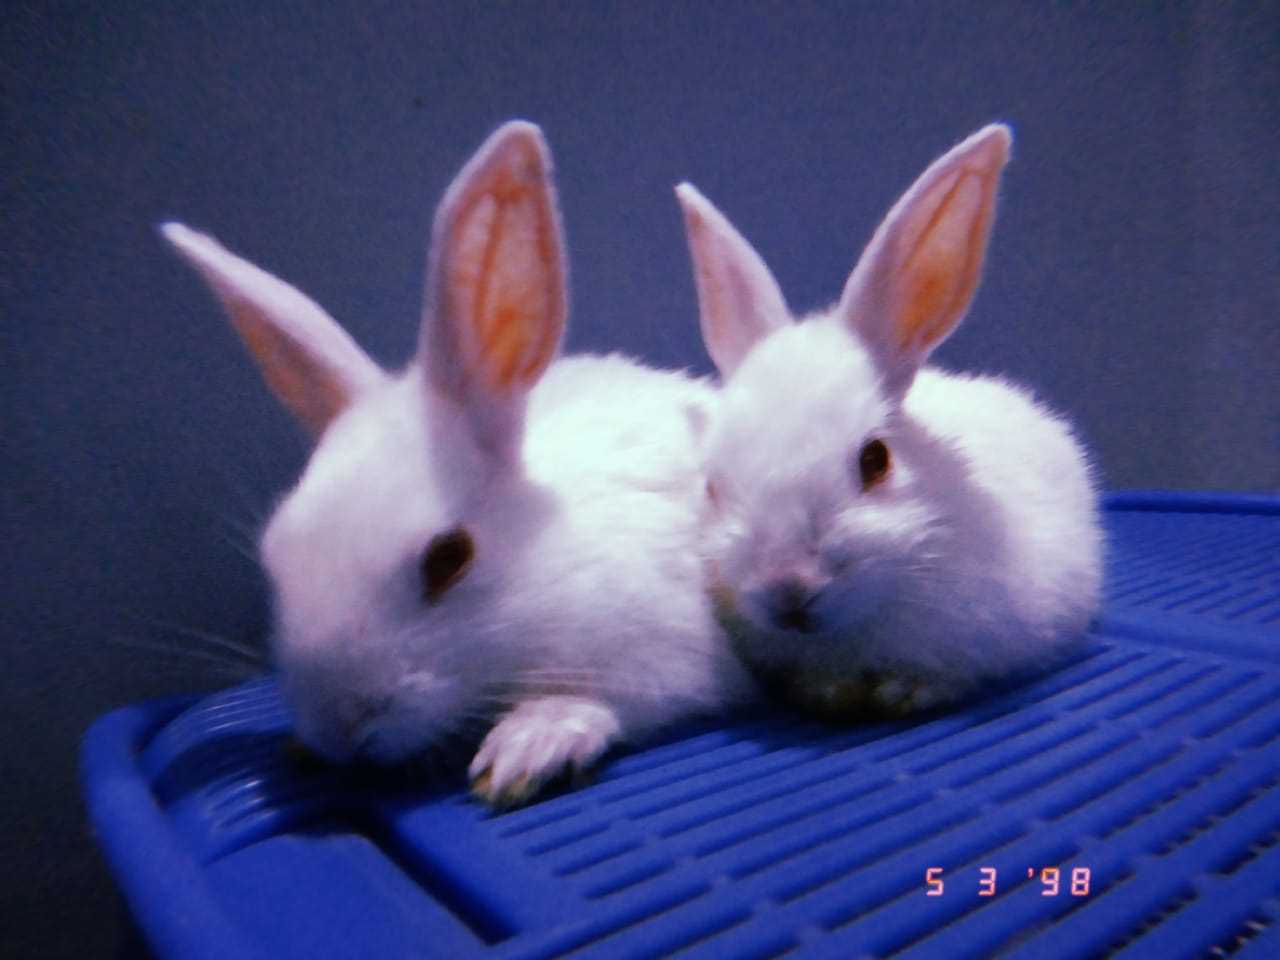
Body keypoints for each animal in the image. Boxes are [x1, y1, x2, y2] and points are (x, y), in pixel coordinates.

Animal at [160, 120, 755, 806]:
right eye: (274, 552)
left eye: (448, 558)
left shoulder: (668, 647)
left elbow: (612, 696)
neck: (547, 559)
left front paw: (530, 745)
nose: (340, 726)